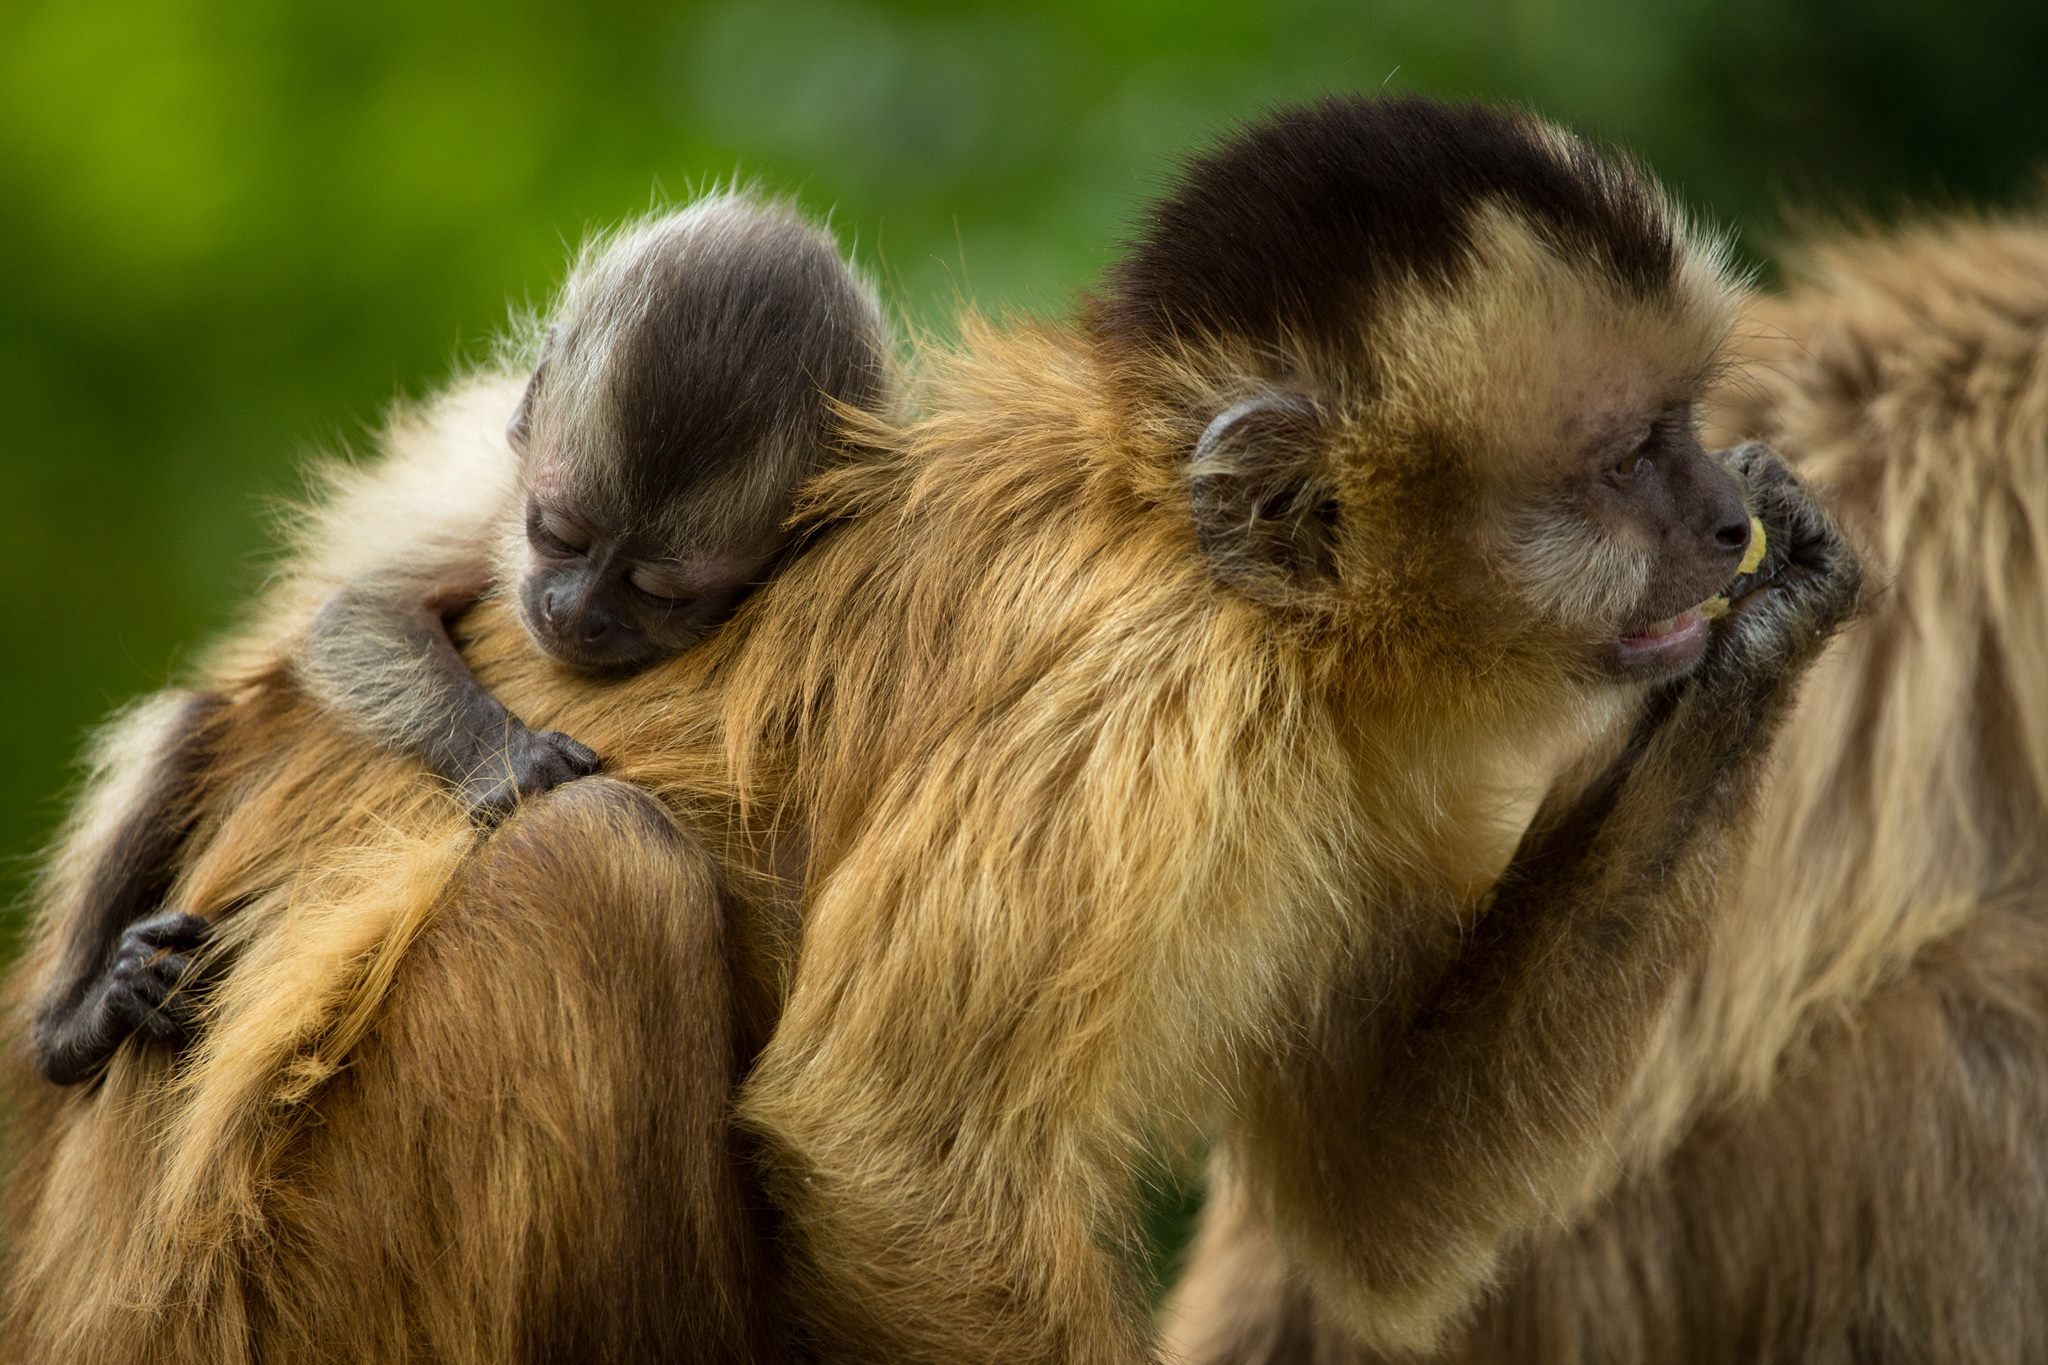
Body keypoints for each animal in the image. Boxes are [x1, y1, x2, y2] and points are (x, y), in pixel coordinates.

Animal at [29, 194, 897, 1088]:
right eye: (560, 534)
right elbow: (354, 616)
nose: (572, 611)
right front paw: (508, 756)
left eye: (657, 591)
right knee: (192, 726)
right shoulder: (489, 506)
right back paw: (81, 1019)